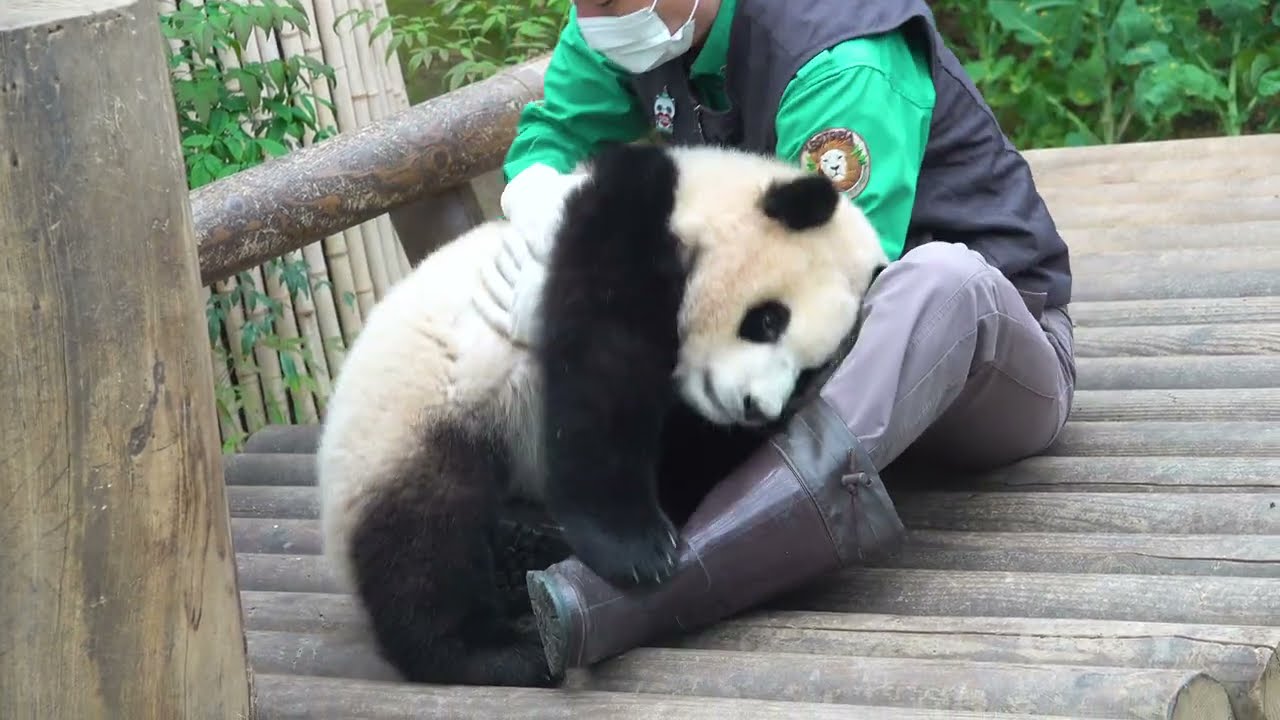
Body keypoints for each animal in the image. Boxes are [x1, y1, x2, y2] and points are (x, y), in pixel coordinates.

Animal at [314, 141, 889, 689]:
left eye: (809, 372)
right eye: (767, 320)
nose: (754, 407)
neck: (698, 197)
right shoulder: (621, 234)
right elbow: (602, 382)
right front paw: (637, 550)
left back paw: (527, 553)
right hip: (412, 421)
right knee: (426, 542)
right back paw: (495, 650)